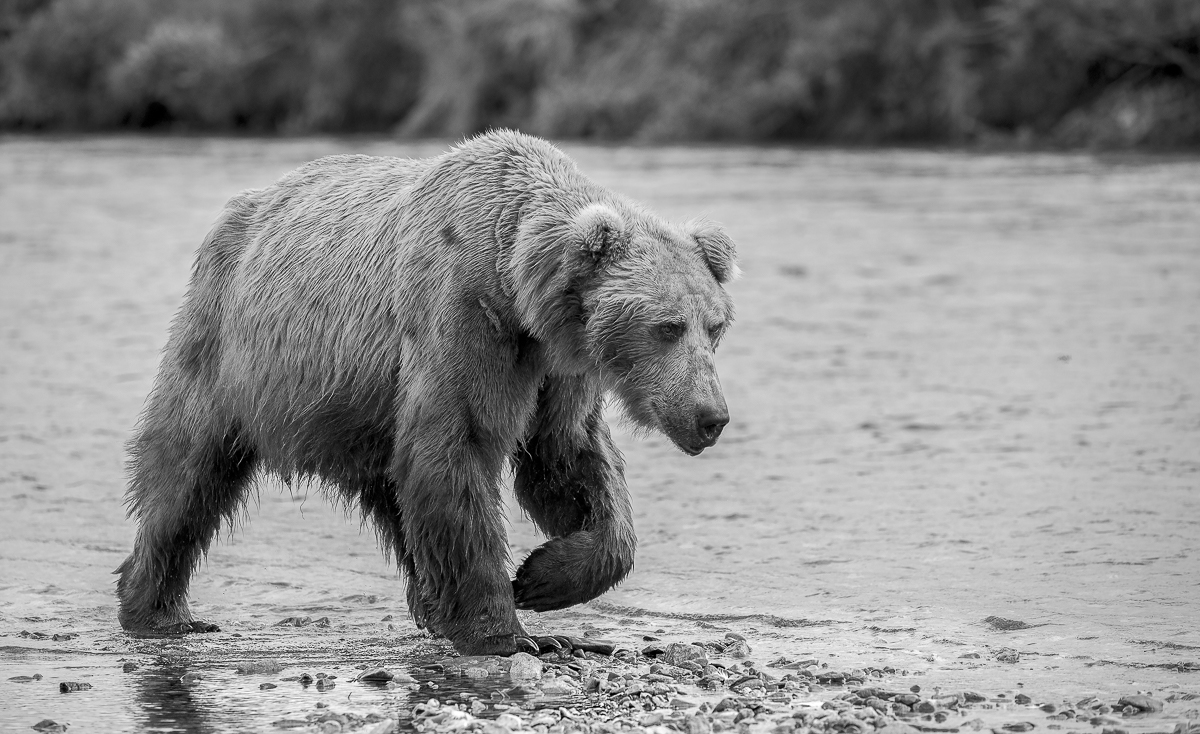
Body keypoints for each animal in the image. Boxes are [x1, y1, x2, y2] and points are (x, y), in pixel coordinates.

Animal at [115, 129, 737, 656]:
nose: (712, 416)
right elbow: (457, 447)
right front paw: (509, 628)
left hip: (362, 409)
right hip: (227, 344)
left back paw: (434, 605)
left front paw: (543, 577)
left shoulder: (559, 364)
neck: (518, 287)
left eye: (715, 325)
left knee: (398, 493)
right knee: (187, 469)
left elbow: (566, 459)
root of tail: (240, 208)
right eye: (667, 326)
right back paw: (158, 609)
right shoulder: (462, 317)